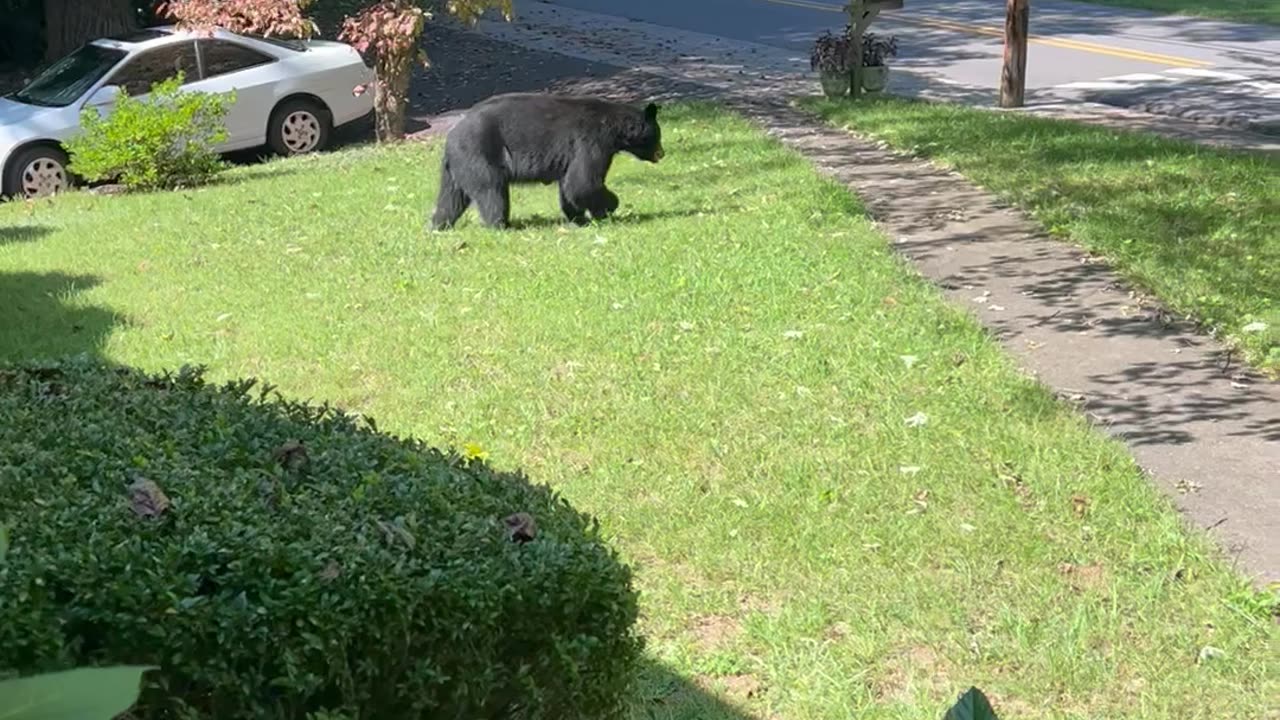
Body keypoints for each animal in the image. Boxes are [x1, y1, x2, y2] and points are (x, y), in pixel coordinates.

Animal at [432, 90, 670, 228]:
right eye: (657, 134)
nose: (662, 153)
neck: (613, 127)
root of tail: (450, 138)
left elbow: (570, 185)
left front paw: (579, 218)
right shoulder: (591, 141)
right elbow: (583, 182)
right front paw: (609, 207)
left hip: (458, 167)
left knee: (451, 198)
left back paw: (439, 224)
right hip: (480, 155)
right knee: (492, 191)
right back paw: (500, 224)